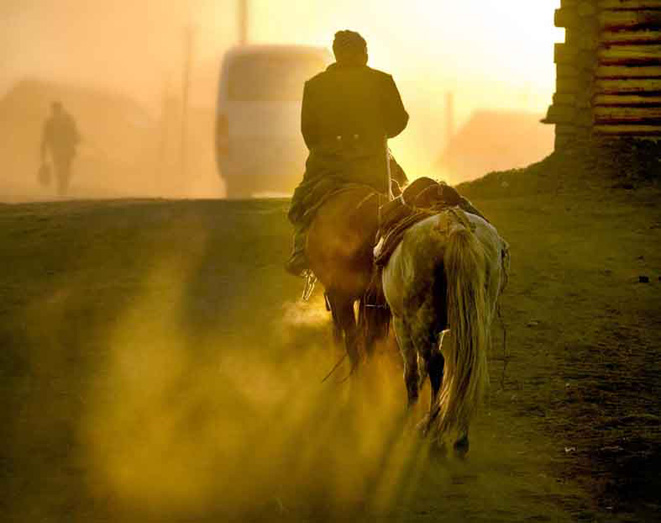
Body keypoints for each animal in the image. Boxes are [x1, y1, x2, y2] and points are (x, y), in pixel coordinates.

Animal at [378, 207, 508, 456]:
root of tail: (454, 225)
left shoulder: (401, 322)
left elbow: (412, 371)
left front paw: (410, 410)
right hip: (477, 318)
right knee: (468, 364)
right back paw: (459, 434)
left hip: (421, 320)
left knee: (436, 365)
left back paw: (430, 427)